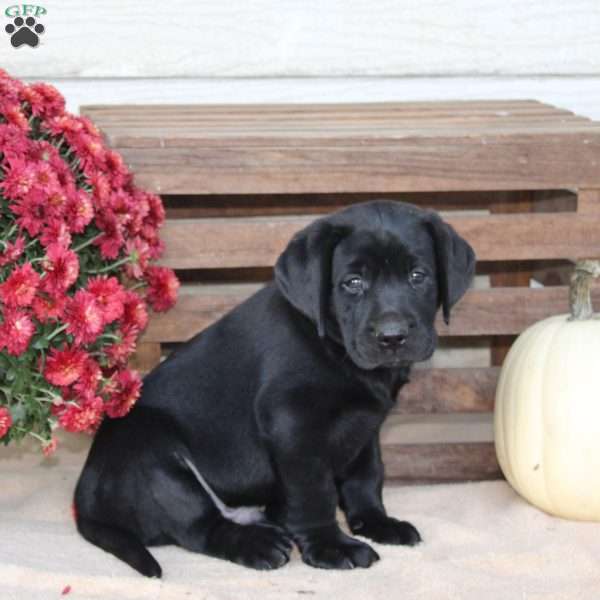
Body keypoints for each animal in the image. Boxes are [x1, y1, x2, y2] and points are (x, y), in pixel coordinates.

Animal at [74, 200, 474, 576]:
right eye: (353, 283)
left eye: (418, 276)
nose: (392, 337)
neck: (336, 349)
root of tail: (85, 496)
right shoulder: (294, 424)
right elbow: (315, 492)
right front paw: (331, 546)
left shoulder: (365, 425)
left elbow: (366, 477)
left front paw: (377, 523)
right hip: (155, 457)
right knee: (200, 527)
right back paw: (256, 545)